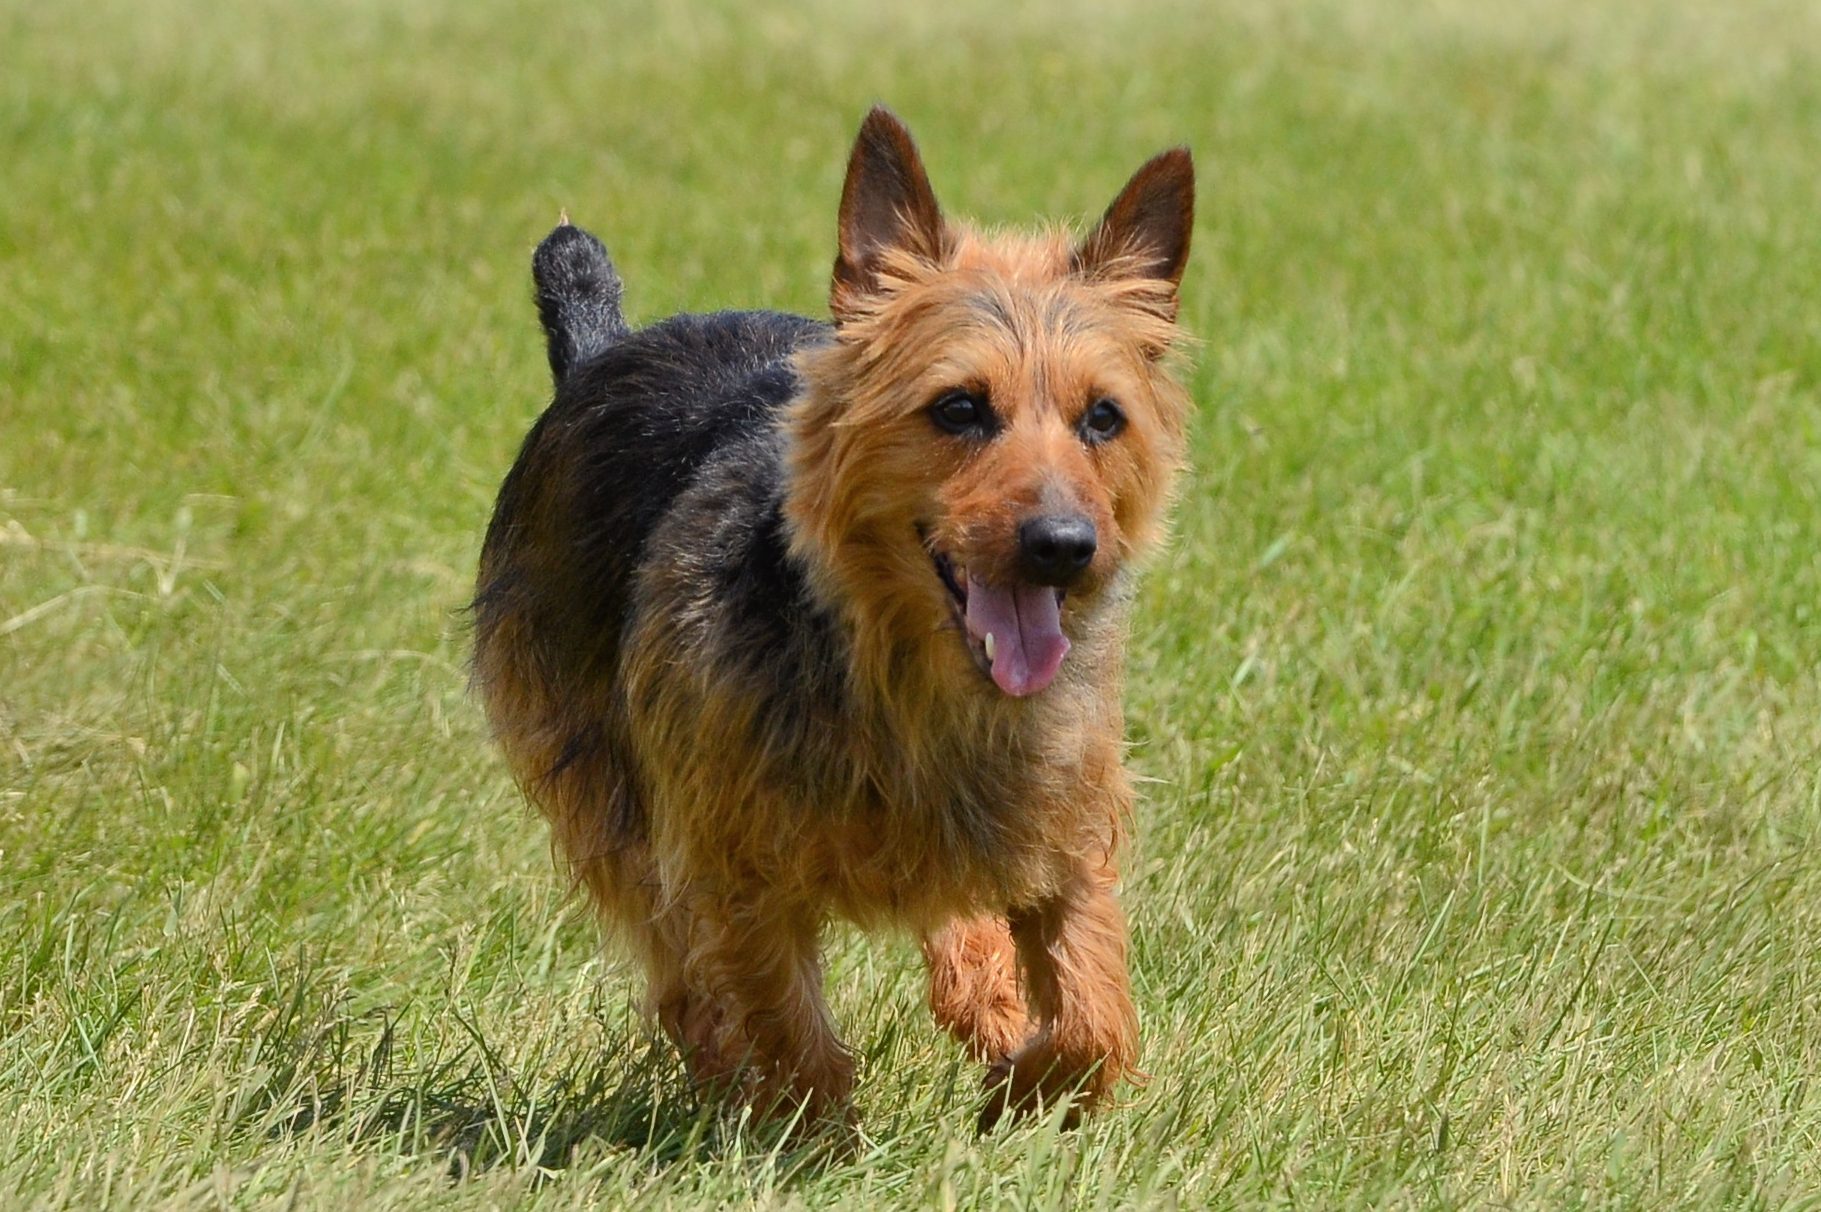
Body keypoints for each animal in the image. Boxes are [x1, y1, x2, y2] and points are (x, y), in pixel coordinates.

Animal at [469, 108, 1194, 1128]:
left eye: (1103, 418)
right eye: (959, 408)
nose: (1062, 544)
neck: (907, 685)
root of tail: (601, 352)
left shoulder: (1069, 830)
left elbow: (1095, 1018)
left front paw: (1019, 1091)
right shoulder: (731, 867)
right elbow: (786, 1030)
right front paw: (813, 1140)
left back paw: (984, 998)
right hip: (600, 795)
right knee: (680, 980)